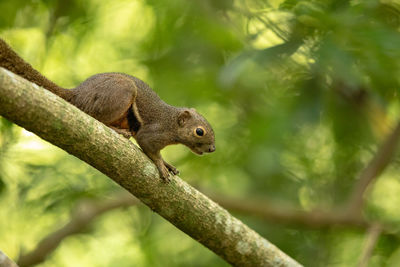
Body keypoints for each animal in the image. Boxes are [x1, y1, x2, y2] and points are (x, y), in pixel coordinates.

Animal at [0, 39, 216, 182]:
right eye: (199, 131)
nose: (212, 148)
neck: (171, 122)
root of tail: (78, 95)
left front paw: (169, 166)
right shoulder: (154, 132)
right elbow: (149, 147)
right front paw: (162, 166)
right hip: (121, 93)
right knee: (96, 118)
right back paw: (118, 131)